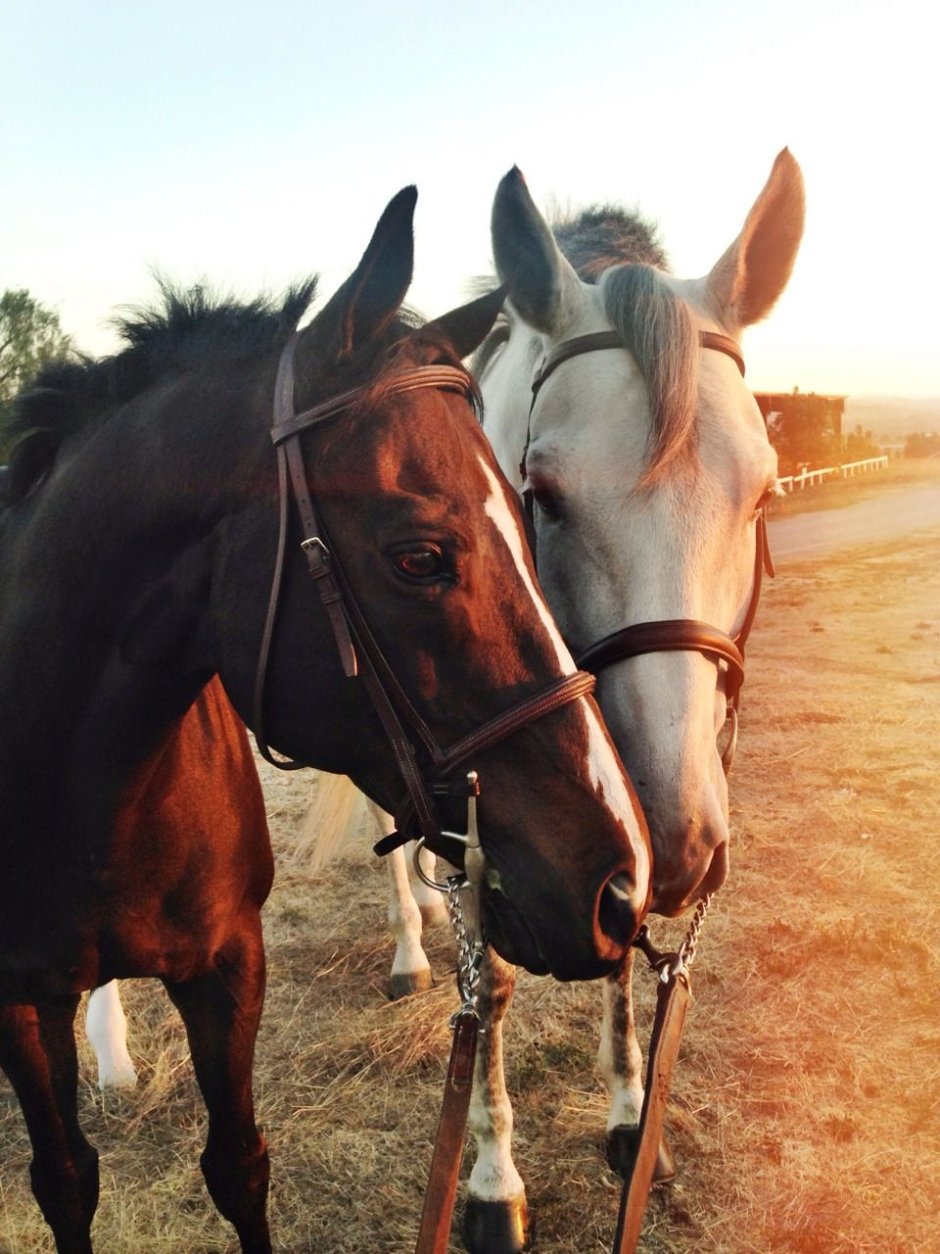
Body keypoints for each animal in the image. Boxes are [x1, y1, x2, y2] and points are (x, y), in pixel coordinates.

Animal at [0, 184, 652, 1253]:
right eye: (420, 556)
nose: (624, 883)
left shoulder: (229, 966)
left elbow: (239, 1166)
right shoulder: (17, 1002)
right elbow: (64, 1183)